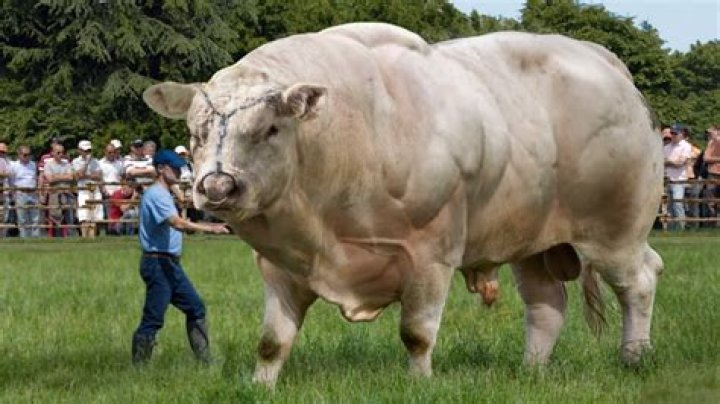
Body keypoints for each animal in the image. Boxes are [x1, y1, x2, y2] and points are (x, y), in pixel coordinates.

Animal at [143, 22, 664, 387]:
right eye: (195, 131)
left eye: (270, 128)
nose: (216, 187)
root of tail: (603, 60)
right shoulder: (278, 266)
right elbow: (273, 342)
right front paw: (261, 385)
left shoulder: (431, 255)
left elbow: (417, 332)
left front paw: (420, 383)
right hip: (533, 240)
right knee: (546, 305)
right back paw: (532, 370)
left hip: (614, 232)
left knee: (639, 281)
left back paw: (635, 356)